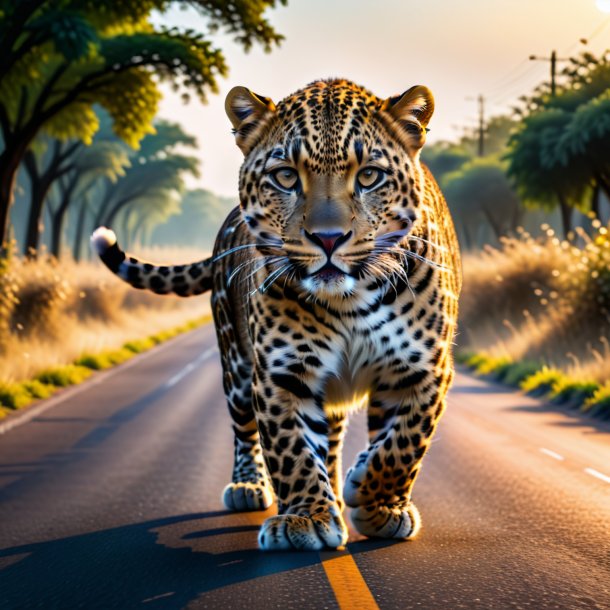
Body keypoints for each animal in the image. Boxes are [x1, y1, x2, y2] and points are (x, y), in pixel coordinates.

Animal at [90, 77, 460, 552]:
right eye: (285, 177)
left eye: (369, 176)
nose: (328, 238)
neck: (350, 301)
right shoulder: (283, 372)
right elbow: (291, 448)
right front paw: (306, 517)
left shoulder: (424, 369)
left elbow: (403, 444)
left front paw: (377, 502)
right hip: (234, 362)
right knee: (244, 429)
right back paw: (249, 487)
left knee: (336, 438)